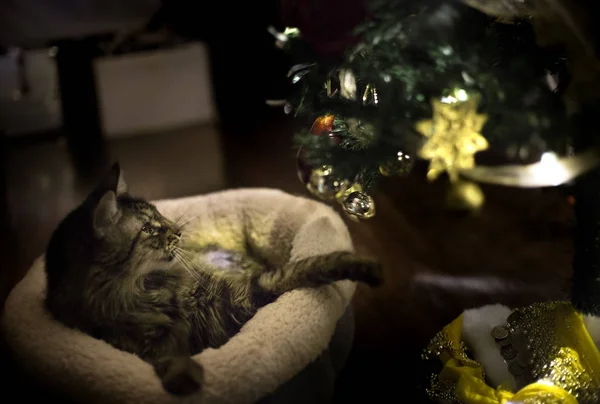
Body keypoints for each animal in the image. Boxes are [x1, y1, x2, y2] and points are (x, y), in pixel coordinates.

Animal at [47, 163, 384, 394]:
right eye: (148, 229)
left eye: (158, 214)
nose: (178, 230)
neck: (144, 293)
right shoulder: (137, 345)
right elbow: (164, 359)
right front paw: (185, 378)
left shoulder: (243, 294)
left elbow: (304, 267)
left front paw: (365, 267)